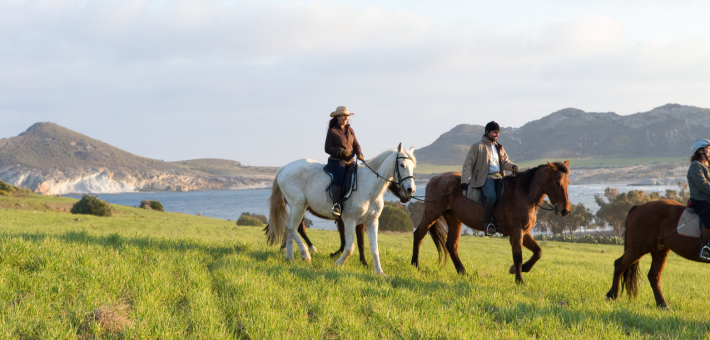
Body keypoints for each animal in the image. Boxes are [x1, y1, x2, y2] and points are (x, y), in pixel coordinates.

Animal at [266, 143, 418, 276]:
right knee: (292, 227)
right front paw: (338, 263)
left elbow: (374, 249)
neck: (371, 188)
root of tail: (284, 168)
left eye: (413, 166)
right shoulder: (350, 220)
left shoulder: (372, 222)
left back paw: (290, 258)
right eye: (402, 165)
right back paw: (305, 254)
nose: (410, 191)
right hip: (299, 205)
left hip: (297, 207)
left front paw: (379, 272)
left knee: (290, 227)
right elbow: (350, 247)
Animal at [412, 161, 572, 282]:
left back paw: (463, 273)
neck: (524, 194)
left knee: (451, 245)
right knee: (419, 234)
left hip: (454, 220)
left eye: (568, 182)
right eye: (557, 183)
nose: (565, 210)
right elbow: (518, 256)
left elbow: (538, 252)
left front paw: (518, 270)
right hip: (432, 214)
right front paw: (519, 280)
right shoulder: (516, 232)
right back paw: (415, 265)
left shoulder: (524, 232)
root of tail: (436, 178)